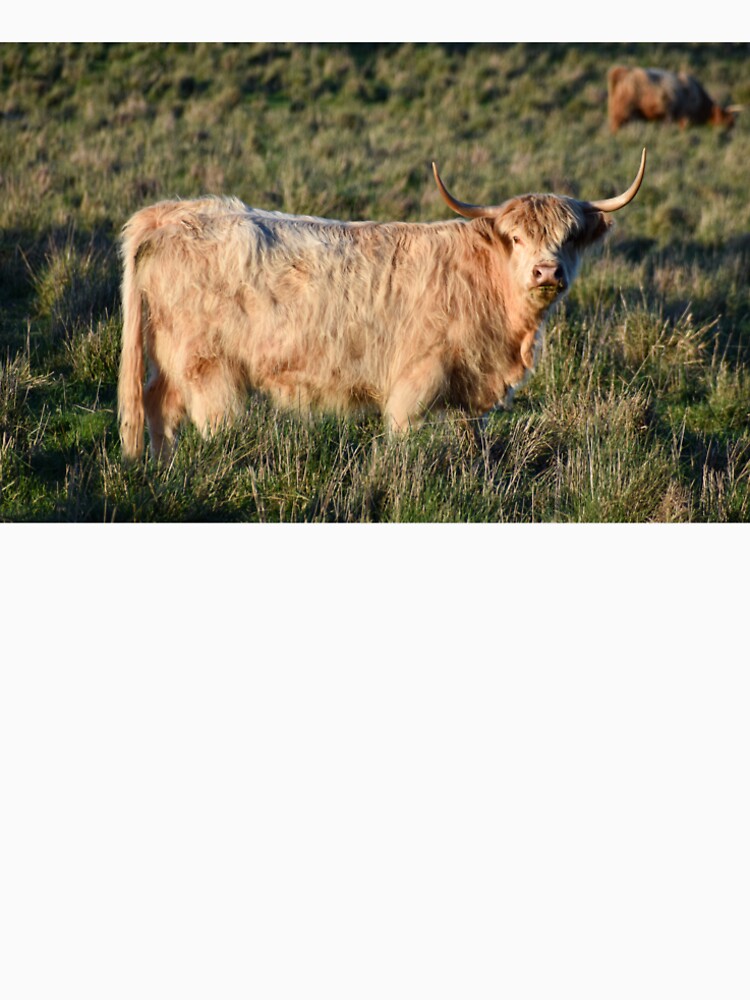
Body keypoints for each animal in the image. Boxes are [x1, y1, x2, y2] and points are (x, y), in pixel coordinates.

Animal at [117, 149, 647, 462]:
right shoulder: (416, 381)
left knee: (157, 407)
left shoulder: (469, 391)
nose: (547, 272)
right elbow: (402, 439)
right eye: (516, 238)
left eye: (570, 238)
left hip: (171, 359)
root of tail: (172, 214)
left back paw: (160, 471)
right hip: (209, 367)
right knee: (208, 424)